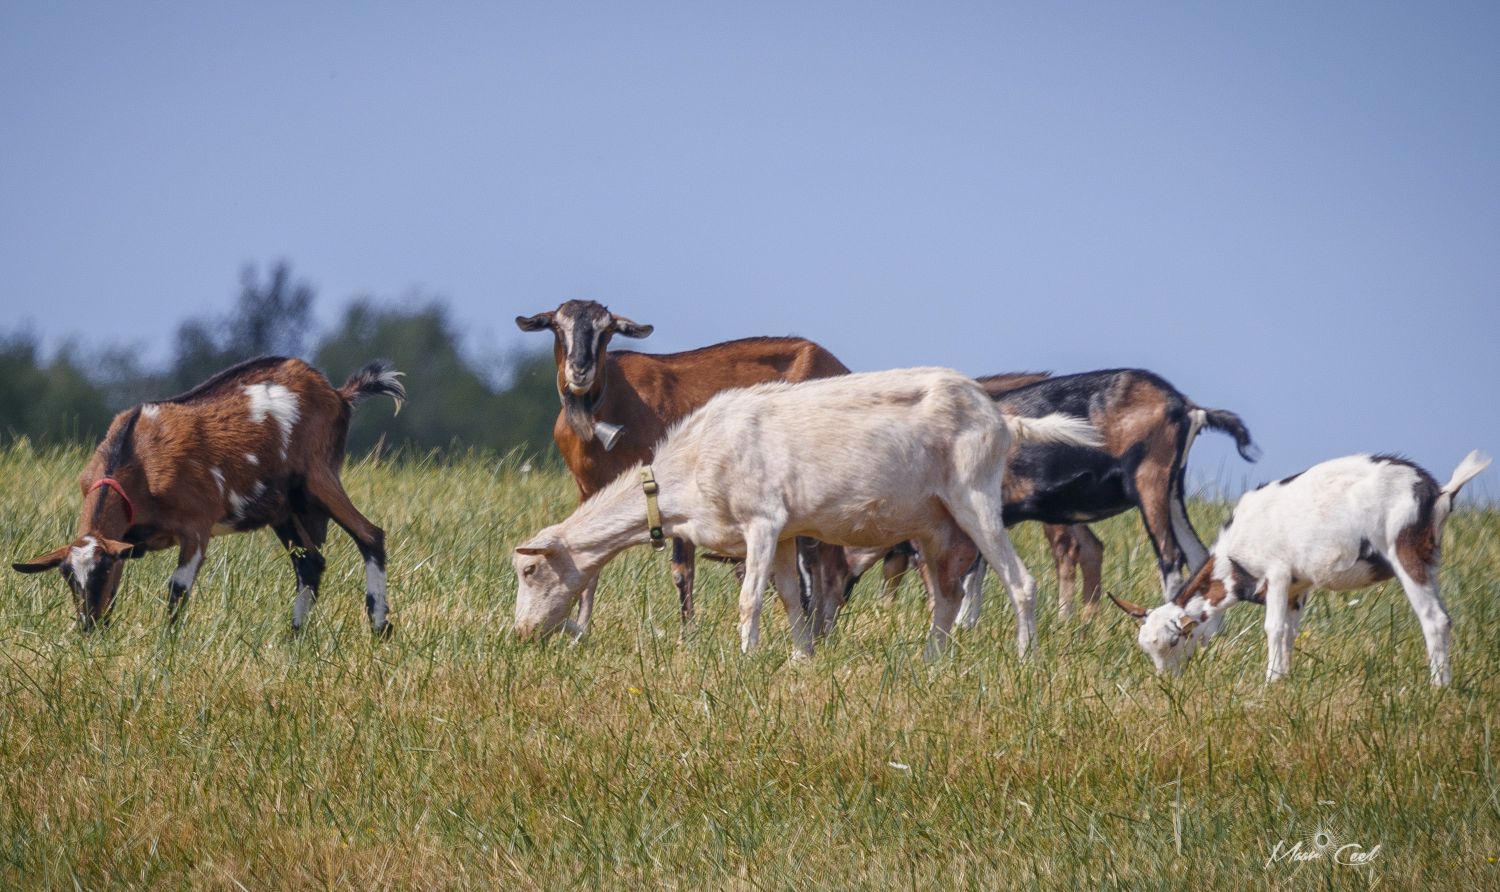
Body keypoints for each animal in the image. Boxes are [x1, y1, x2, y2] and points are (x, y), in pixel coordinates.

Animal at [11, 355, 408, 635]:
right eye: (67, 575)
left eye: (102, 568)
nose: (88, 627)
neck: (137, 457)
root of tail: (338, 393)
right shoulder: (125, 538)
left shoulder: (196, 528)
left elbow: (178, 589)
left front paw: (167, 647)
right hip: (284, 509)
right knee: (311, 563)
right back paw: (294, 637)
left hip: (318, 477)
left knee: (370, 535)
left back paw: (379, 628)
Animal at [516, 299, 852, 635]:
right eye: (557, 327)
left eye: (606, 330)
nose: (579, 369)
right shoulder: (587, 489)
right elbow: (591, 568)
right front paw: (582, 632)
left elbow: (681, 569)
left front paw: (687, 634)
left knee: (828, 564)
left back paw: (822, 630)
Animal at [516, 365, 1104, 659]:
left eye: (528, 569)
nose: (520, 634)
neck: (686, 469)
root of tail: (1003, 418)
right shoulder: (780, 535)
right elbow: (788, 599)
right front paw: (801, 659)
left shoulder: (762, 520)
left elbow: (751, 599)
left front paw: (747, 660)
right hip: (933, 524)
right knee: (946, 596)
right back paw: (930, 661)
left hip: (974, 495)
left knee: (1020, 581)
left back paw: (1025, 658)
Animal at [1116, 449, 1488, 686]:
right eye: (1146, 648)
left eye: (1174, 641)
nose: (1168, 682)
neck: (1234, 556)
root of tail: (1439, 493)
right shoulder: (1298, 586)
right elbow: (1290, 632)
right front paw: (1284, 679)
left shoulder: (1278, 573)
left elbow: (1273, 628)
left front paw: (1269, 681)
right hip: (1428, 558)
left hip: (1406, 550)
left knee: (1434, 618)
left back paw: (1439, 687)